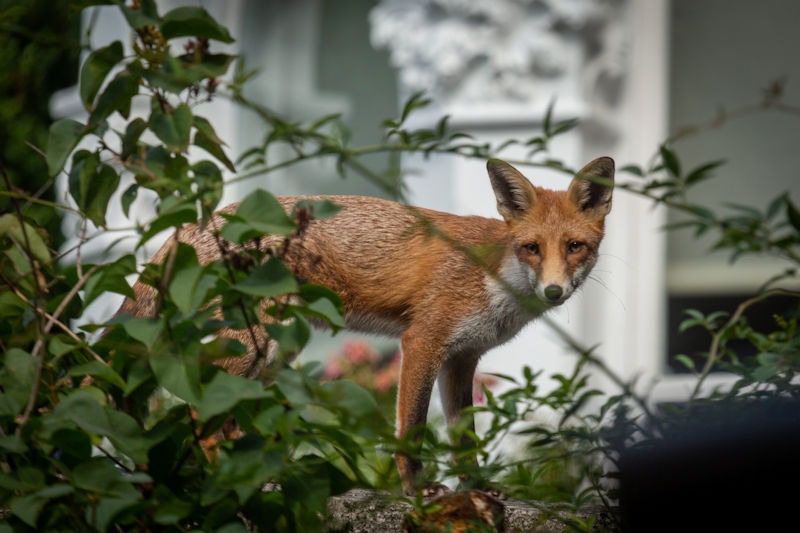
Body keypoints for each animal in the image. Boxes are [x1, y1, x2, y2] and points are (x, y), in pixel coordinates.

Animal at [119, 155, 616, 494]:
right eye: (532, 248)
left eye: (575, 247)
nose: (553, 291)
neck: (494, 276)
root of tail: (199, 223)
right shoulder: (423, 341)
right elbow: (411, 431)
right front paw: (417, 493)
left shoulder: (461, 359)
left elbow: (465, 442)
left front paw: (477, 491)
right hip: (253, 345)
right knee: (201, 413)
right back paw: (231, 479)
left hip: (275, 353)